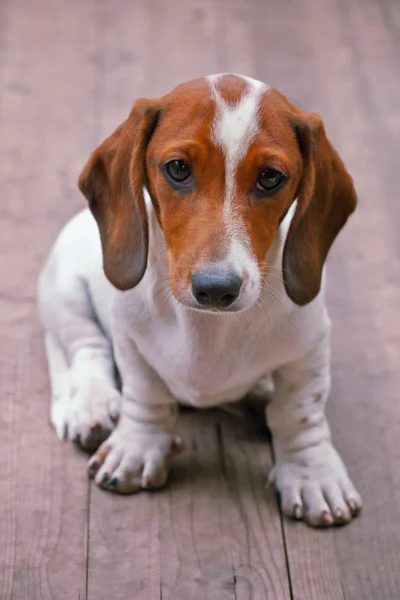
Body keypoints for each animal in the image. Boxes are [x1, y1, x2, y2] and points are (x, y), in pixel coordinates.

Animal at [38, 72, 362, 528]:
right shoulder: (129, 338)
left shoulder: (310, 347)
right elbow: (145, 395)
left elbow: (299, 413)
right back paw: (92, 405)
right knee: (87, 349)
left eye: (270, 177)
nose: (215, 288)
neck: (209, 328)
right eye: (178, 169)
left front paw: (311, 474)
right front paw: (136, 447)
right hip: (65, 292)